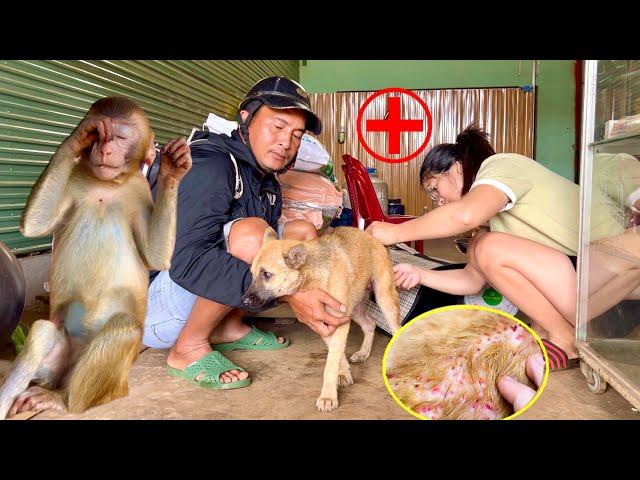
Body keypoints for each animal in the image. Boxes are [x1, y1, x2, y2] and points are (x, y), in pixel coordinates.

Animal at [0, 95, 191, 418]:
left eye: (121, 137)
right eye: (101, 137)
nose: (105, 148)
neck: (108, 185)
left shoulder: (141, 191)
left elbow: (155, 257)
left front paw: (172, 169)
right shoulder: (73, 177)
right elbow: (35, 225)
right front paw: (79, 135)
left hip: (110, 382)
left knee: (123, 329)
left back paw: (64, 402)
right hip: (57, 363)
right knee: (42, 331)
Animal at [241, 227, 398, 410]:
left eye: (267, 274)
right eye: (252, 274)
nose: (243, 301)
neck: (312, 276)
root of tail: (372, 237)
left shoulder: (339, 322)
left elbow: (331, 362)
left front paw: (328, 396)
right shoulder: (324, 323)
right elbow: (336, 354)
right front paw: (343, 374)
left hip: (384, 298)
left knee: (396, 328)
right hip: (354, 306)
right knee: (370, 324)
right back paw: (363, 352)